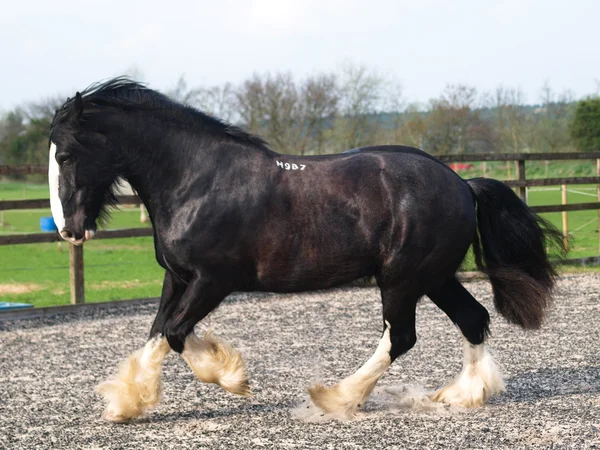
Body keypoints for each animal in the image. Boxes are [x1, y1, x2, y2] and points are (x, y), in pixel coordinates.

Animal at [47, 78, 564, 422]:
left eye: (66, 155)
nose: (69, 231)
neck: (196, 180)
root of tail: (460, 183)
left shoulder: (213, 281)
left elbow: (176, 333)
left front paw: (231, 375)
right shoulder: (177, 277)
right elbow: (157, 334)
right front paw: (126, 402)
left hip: (402, 279)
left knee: (400, 336)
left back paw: (335, 398)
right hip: (434, 277)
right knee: (472, 319)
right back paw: (464, 395)